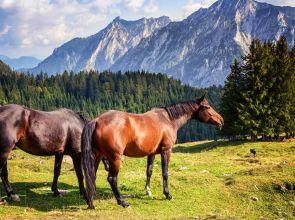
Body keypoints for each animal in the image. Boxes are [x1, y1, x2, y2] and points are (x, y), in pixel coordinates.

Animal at [81, 96, 224, 208]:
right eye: (207, 107)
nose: (221, 120)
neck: (168, 120)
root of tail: (97, 120)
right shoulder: (166, 151)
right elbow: (165, 173)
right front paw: (167, 194)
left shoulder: (152, 153)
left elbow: (149, 171)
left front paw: (148, 191)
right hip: (115, 158)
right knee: (112, 179)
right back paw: (122, 202)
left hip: (98, 155)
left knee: (92, 176)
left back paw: (91, 201)